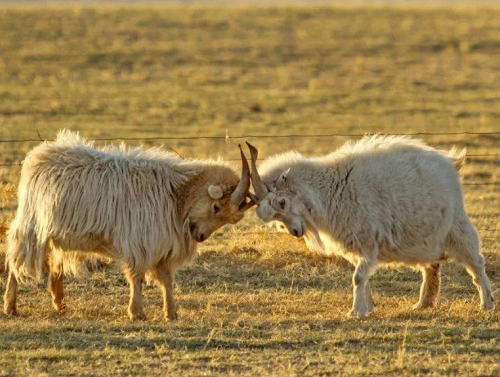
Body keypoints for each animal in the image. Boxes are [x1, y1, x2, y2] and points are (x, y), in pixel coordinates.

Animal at [3, 131, 254, 320]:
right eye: (216, 208)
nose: (201, 236)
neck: (175, 194)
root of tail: (40, 153)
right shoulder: (139, 243)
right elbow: (137, 278)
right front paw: (137, 313)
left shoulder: (162, 248)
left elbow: (167, 281)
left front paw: (171, 313)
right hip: (32, 225)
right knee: (16, 263)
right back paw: (10, 306)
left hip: (56, 233)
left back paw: (59, 304)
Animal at [246, 137, 492, 316]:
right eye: (277, 221)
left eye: (282, 202)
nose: (296, 232)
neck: (329, 189)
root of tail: (450, 162)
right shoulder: (356, 245)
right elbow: (363, 279)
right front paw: (368, 307)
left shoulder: (367, 240)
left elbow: (358, 277)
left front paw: (355, 311)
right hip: (425, 235)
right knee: (431, 266)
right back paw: (424, 303)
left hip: (457, 228)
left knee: (476, 264)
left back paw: (486, 303)